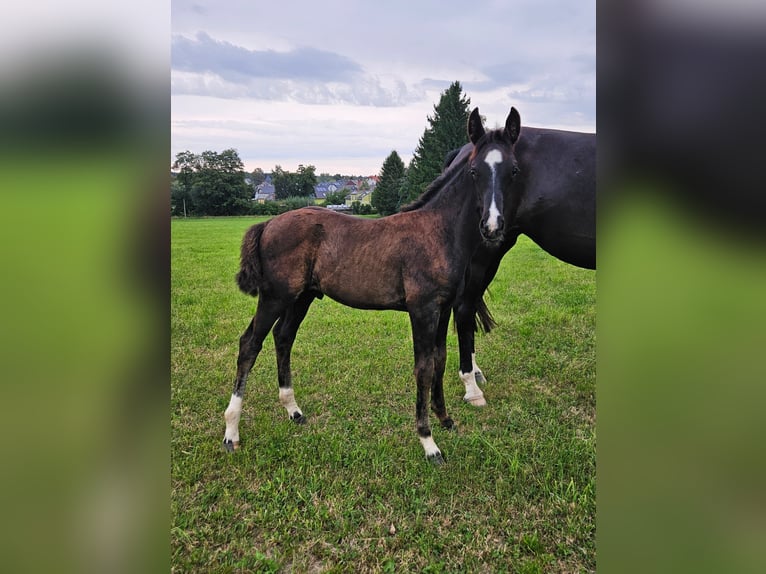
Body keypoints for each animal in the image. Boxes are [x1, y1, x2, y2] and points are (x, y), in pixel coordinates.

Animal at [222, 107, 521, 463]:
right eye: (475, 171)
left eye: (513, 170)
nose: (492, 227)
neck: (438, 231)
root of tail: (268, 222)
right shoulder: (422, 310)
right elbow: (423, 367)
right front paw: (428, 441)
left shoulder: (444, 308)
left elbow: (440, 358)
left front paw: (445, 419)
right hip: (275, 296)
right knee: (250, 344)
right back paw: (231, 432)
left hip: (302, 297)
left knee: (283, 337)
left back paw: (293, 410)